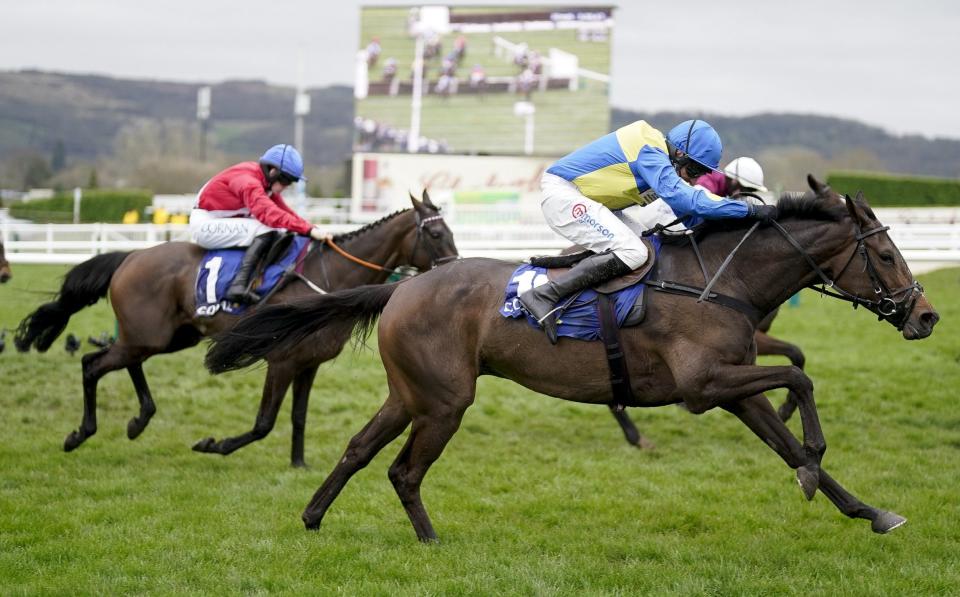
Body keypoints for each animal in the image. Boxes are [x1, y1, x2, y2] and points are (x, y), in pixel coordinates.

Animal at [15, 193, 458, 464]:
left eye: (451, 231)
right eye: (436, 233)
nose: (454, 269)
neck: (328, 275)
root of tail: (131, 257)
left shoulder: (309, 364)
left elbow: (299, 417)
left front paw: (299, 464)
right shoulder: (282, 361)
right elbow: (263, 424)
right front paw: (215, 444)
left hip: (166, 337)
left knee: (123, 361)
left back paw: (139, 419)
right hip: (149, 335)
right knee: (93, 363)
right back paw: (81, 433)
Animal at [208, 177, 936, 540]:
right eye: (887, 253)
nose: (926, 314)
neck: (718, 279)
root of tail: (404, 284)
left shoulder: (735, 389)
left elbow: (786, 438)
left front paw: (867, 510)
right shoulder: (705, 385)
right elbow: (801, 377)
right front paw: (817, 459)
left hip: (411, 392)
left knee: (361, 450)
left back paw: (313, 517)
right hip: (444, 400)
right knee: (403, 470)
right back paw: (430, 539)